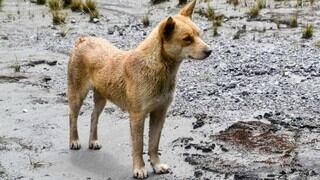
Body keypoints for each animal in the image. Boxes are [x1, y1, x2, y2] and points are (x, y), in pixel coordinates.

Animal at [67, 0, 211, 179]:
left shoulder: (160, 113)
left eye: (199, 34)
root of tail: (83, 39)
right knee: (72, 117)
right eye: (187, 39)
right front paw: (139, 168)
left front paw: (157, 165)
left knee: (94, 116)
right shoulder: (137, 116)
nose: (209, 51)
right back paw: (74, 141)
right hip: (77, 94)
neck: (158, 67)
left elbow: (153, 144)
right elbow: (138, 145)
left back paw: (93, 141)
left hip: (101, 97)